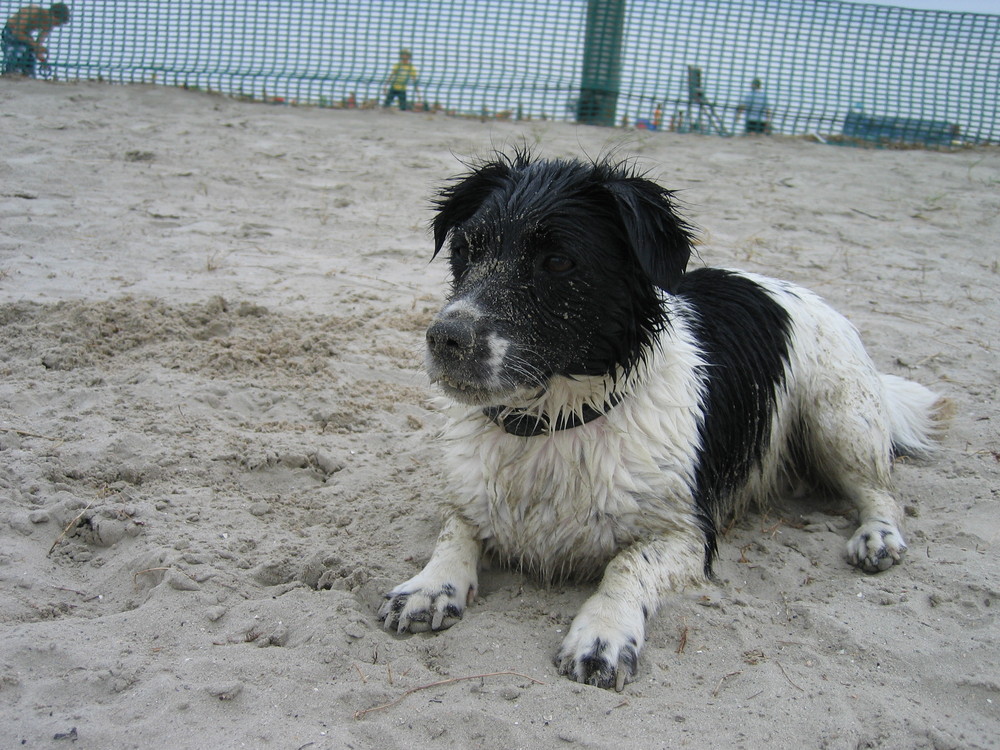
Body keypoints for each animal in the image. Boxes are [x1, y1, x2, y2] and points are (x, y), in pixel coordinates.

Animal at [378, 151, 940, 692]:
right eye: (466, 250)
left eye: (557, 261)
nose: (445, 338)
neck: (556, 423)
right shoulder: (472, 496)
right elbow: (455, 530)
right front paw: (429, 586)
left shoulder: (688, 534)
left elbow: (626, 564)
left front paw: (602, 634)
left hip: (839, 418)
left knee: (881, 491)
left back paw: (878, 537)